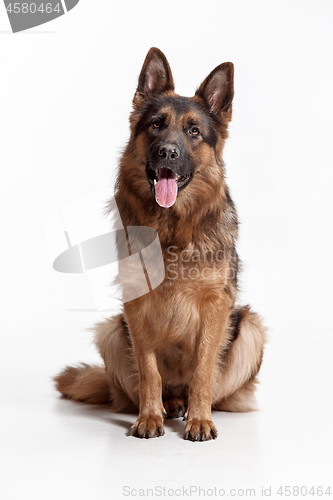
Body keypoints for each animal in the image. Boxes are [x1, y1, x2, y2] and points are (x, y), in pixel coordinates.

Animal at [55, 47, 268, 442]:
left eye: (194, 131)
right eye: (156, 124)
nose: (168, 152)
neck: (172, 231)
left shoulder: (216, 306)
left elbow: (202, 370)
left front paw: (199, 420)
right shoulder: (135, 305)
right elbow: (149, 370)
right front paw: (149, 417)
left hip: (249, 328)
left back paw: (189, 407)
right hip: (112, 331)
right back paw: (168, 406)